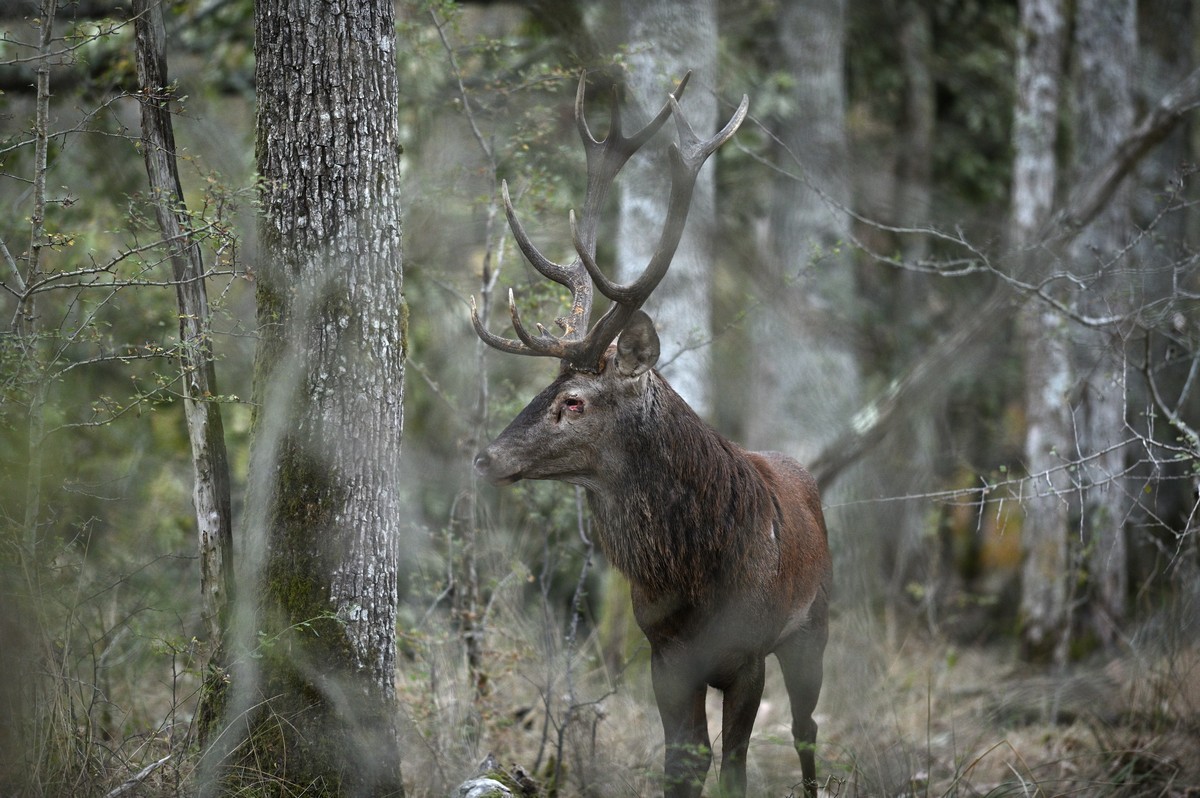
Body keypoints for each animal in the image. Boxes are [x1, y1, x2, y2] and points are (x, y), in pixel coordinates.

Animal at [470, 71, 832, 798]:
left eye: (574, 401)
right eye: (545, 390)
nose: (487, 457)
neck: (697, 573)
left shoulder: (749, 654)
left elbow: (735, 765)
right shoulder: (664, 656)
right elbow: (682, 765)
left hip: (816, 625)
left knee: (808, 730)